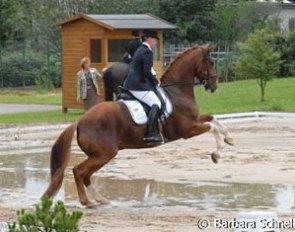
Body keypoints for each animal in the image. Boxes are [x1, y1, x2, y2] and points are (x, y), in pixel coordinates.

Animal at [42, 44, 235, 208]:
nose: (213, 86)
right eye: (211, 62)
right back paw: (87, 202)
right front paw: (216, 154)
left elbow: (214, 119)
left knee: (86, 175)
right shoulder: (188, 129)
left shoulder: (194, 119)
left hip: (98, 155)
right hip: (105, 154)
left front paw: (230, 139)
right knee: (79, 171)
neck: (177, 92)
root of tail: (80, 121)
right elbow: (212, 127)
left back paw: (100, 199)